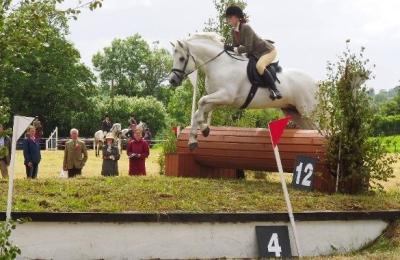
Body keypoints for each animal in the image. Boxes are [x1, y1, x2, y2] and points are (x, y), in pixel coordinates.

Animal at [169, 32, 318, 150]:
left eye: (182, 59)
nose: (172, 81)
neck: (220, 64)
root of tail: (316, 83)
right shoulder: (217, 100)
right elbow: (198, 111)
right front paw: (194, 139)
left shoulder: (226, 96)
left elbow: (200, 101)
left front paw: (204, 129)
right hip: (295, 112)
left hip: (309, 112)